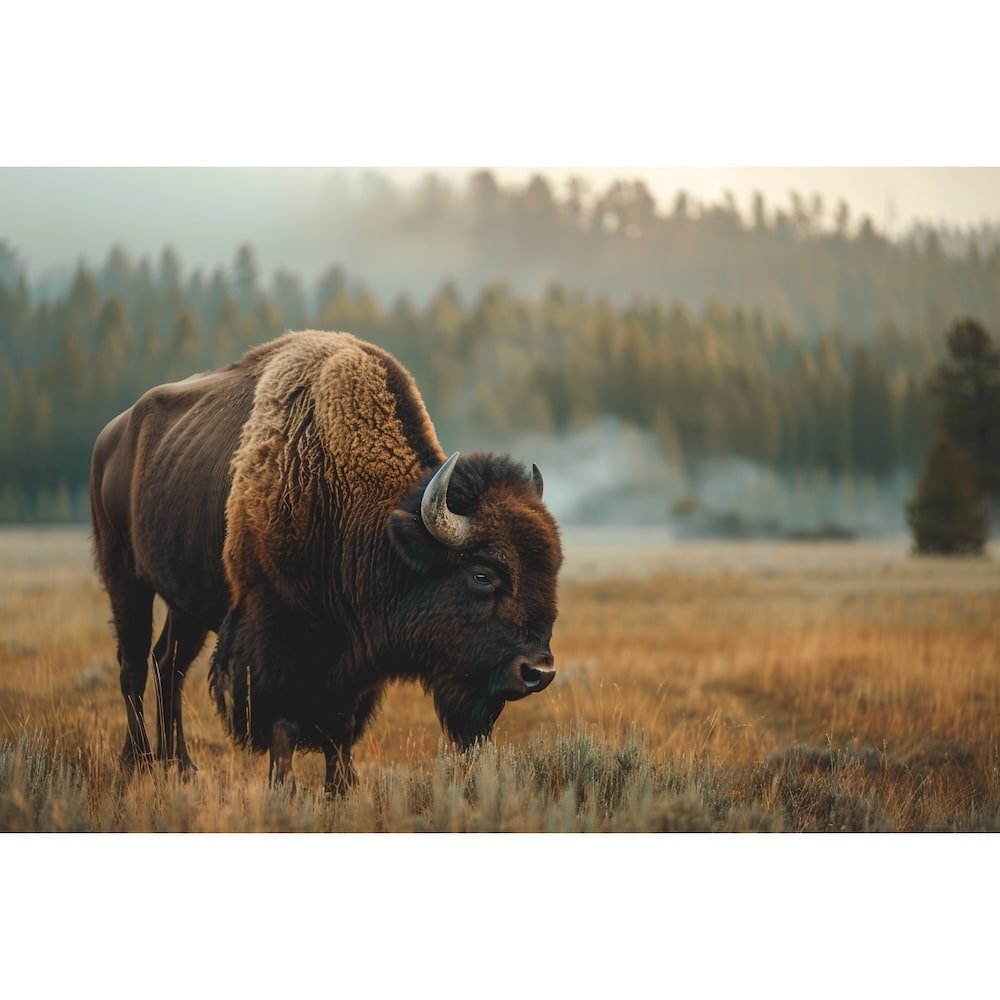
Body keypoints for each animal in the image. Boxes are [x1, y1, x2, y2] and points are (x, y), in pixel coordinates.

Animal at [90, 330, 562, 793]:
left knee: (168, 664)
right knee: (133, 665)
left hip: (186, 601)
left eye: (551, 570)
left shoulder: (356, 654)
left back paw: (183, 766)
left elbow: (341, 724)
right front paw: (284, 786)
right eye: (482, 574)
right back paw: (137, 761)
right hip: (124, 576)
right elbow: (283, 719)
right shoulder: (277, 638)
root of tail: (110, 436)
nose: (537, 672)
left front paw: (343, 785)